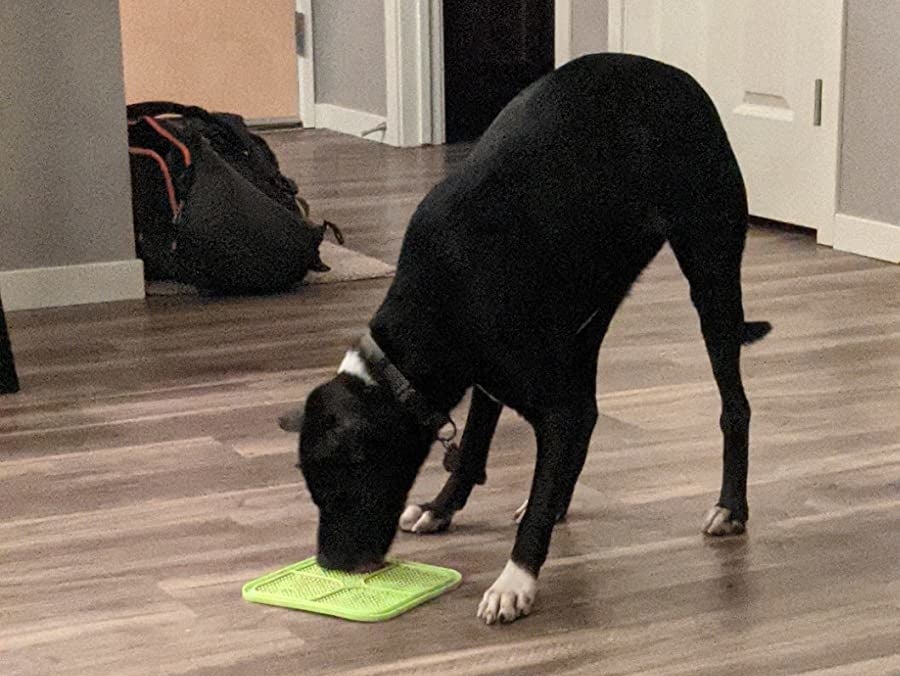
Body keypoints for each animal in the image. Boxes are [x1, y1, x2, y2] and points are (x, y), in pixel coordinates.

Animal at [280, 55, 768, 624]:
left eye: (343, 489)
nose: (329, 565)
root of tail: (672, 74)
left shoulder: (548, 401)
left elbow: (535, 477)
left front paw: (515, 580)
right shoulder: (489, 376)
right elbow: (473, 444)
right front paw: (441, 507)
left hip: (711, 275)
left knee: (734, 406)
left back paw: (730, 507)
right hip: (590, 308)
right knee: (591, 408)